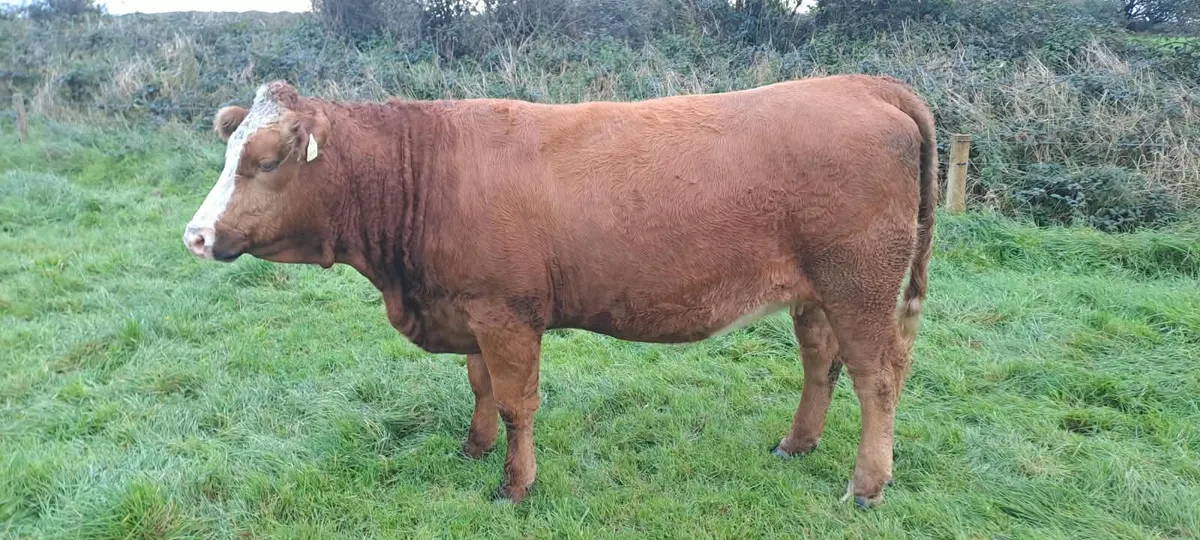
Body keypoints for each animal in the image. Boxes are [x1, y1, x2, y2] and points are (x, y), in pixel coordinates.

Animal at [182, 74, 937, 509]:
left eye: (267, 160)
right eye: (231, 150)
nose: (195, 235)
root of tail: (863, 85)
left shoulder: (507, 314)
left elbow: (518, 403)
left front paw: (515, 486)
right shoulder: (469, 308)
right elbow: (480, 386)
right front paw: (473, 448)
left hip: (861, 288)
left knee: (878, 379)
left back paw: (867, 486)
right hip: (816, 295)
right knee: (821, 365)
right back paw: (796, 445)